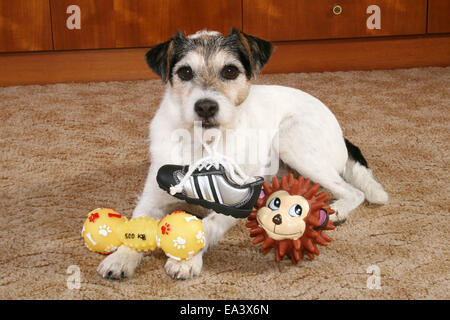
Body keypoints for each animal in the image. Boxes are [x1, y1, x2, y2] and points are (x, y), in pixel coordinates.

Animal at [96, 29, 388, 280]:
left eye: (230, 70)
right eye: (185, 72)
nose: (205, 106)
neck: (204, 143)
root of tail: (341, 133)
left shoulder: (233, 204)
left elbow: (207, 226)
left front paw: (186, 260)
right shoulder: (152, 197)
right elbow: (135, 228)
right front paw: (121, 258)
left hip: (291, 140)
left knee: (354, 191)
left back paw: (337, 210)